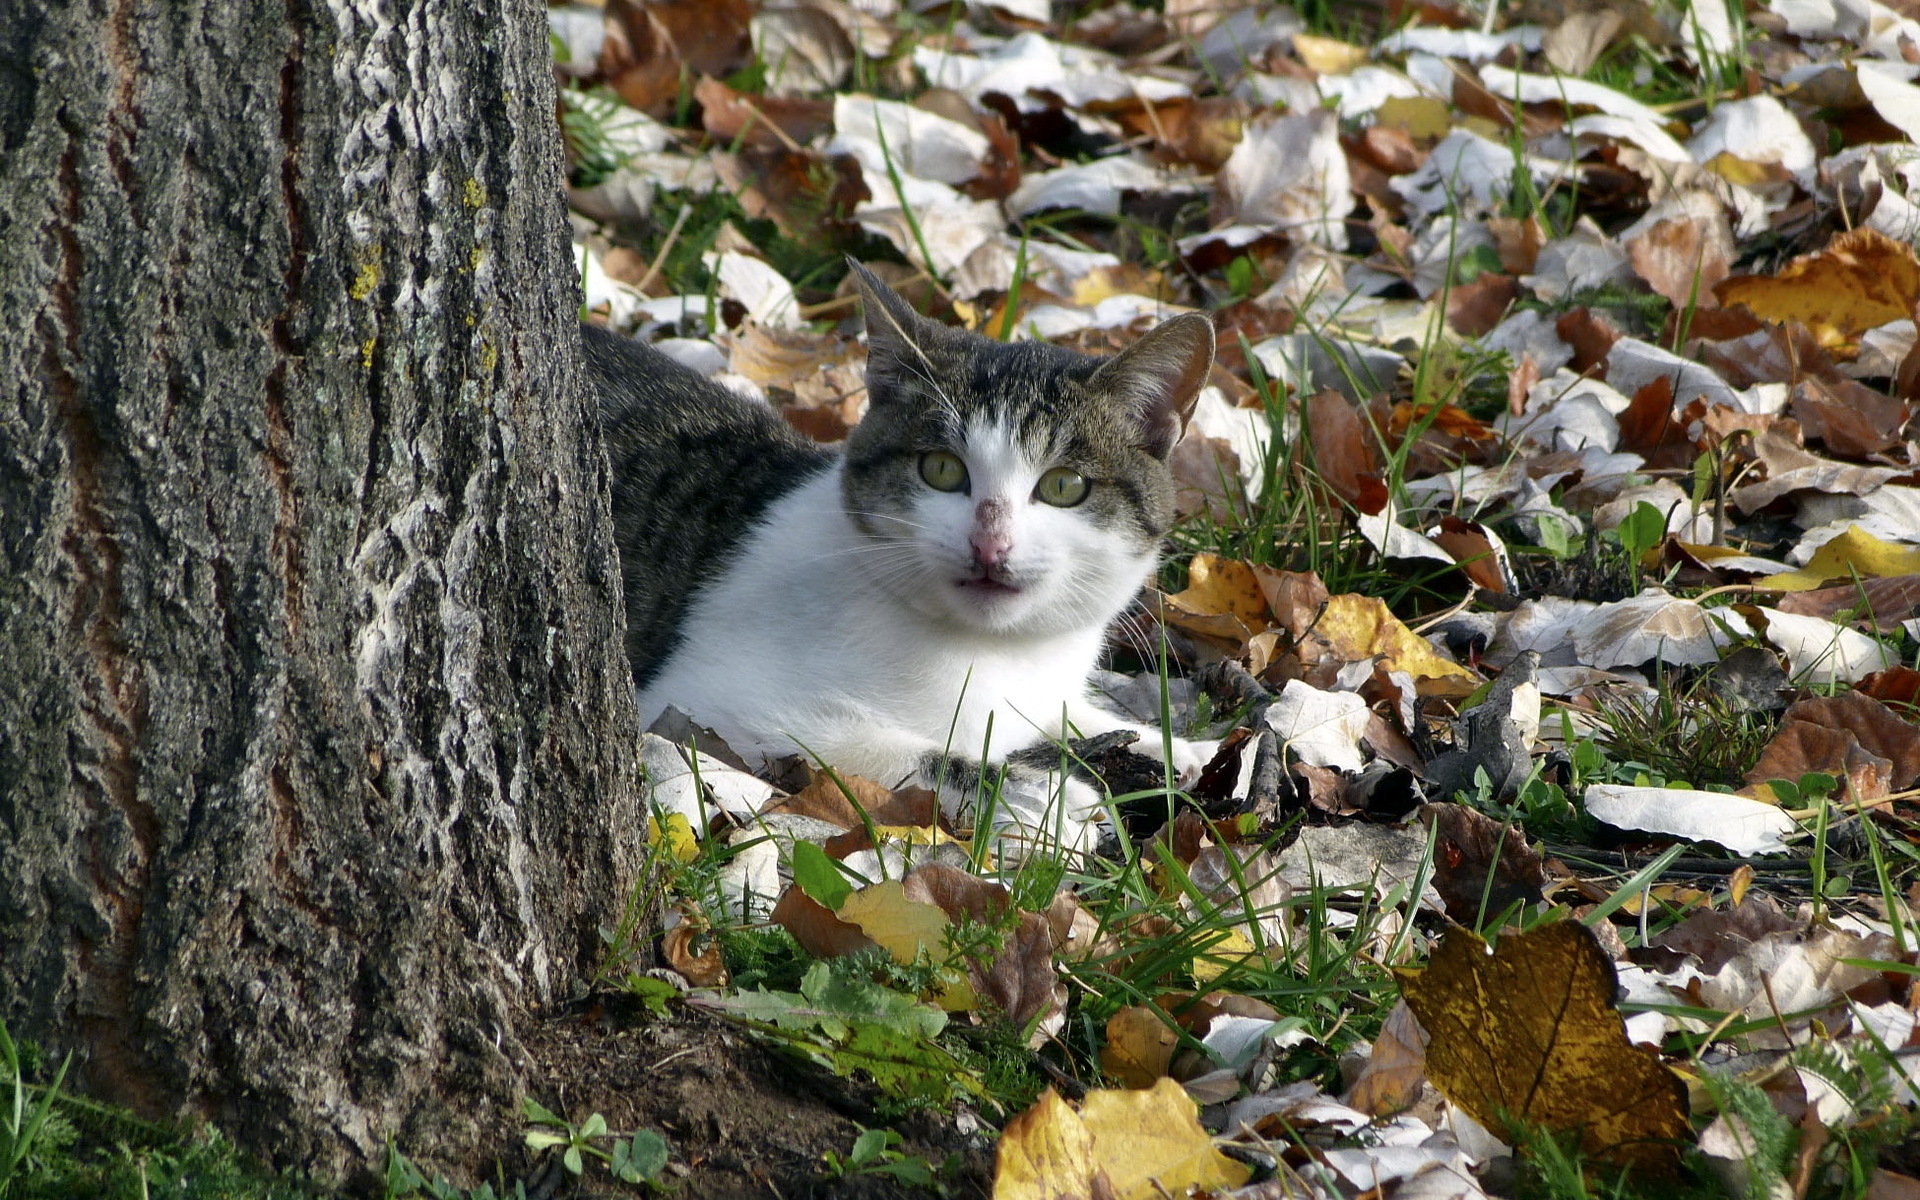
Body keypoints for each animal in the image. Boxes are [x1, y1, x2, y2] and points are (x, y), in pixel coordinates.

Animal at [587, 259, 1213, 852]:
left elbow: (1073, 715)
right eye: (941, 469)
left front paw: (1179, 750)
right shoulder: (698, 704)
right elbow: (894, 753)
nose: (990, 543)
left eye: (1064, 486)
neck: (992, 653)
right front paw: (1050, 799)